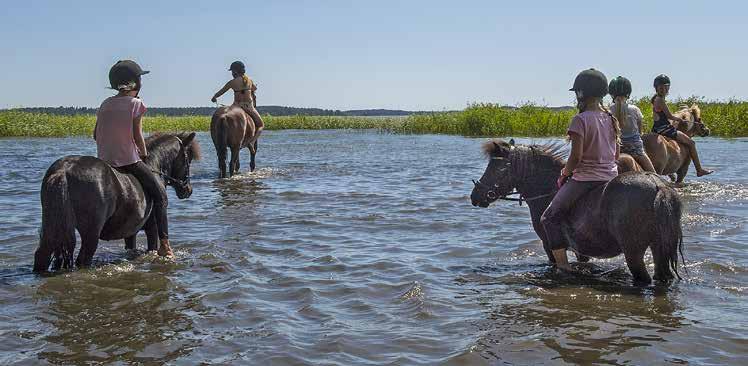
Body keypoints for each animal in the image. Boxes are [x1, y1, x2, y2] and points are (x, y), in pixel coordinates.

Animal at [33, 132, 200, 272]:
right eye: (188, 160)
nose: (188, 190)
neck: (154, 164)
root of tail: (63, 171)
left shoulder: (131, 231)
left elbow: (131, 249)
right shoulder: (151, 226)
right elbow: (153, 244)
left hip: (51, 225)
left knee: (42, 255)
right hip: (91, 231)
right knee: (83, 259)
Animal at [470, 139, 688, 284]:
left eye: (496, 168)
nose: (475, 196)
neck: (548, 188)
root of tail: (658, 185)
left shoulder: (549, 245)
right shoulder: (581, 250)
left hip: (633, 252)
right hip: (659, 247)